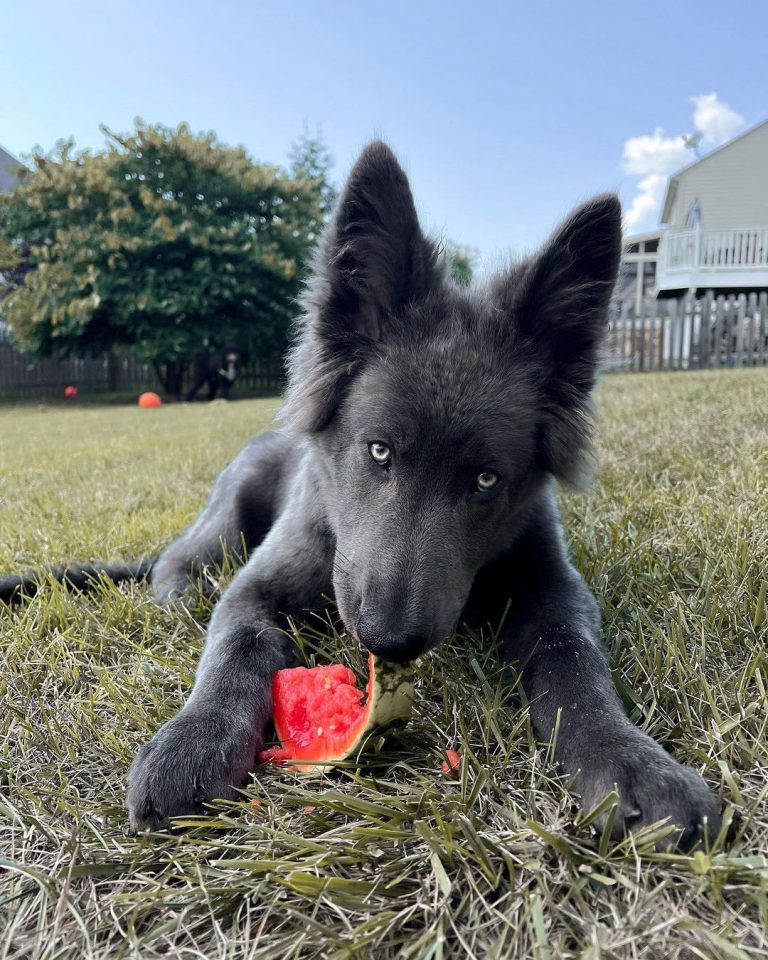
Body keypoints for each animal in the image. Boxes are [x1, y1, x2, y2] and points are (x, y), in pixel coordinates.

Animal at [0, 142, 720, 848]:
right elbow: (234, 653)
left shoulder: (554, 590)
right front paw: (193, 742)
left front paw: (629, 760)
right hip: (226, 519)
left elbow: (576, 664)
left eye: (486, 481)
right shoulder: (254, 590)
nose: (389, 639)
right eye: (378, 451)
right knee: (176, 564)